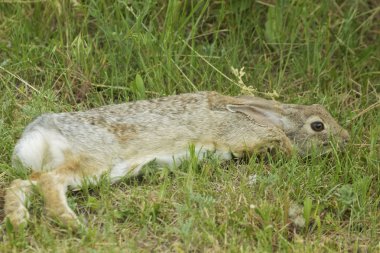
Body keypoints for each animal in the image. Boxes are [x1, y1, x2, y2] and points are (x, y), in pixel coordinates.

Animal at [3, 91, 348, 229]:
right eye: (318, 125)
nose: (345, 139)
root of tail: (40, 133)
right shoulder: (245, 135)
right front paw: (288, 150)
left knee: (22, 182)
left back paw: (18, 219)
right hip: (94, 163)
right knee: (50, 182)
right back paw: (70, 222)